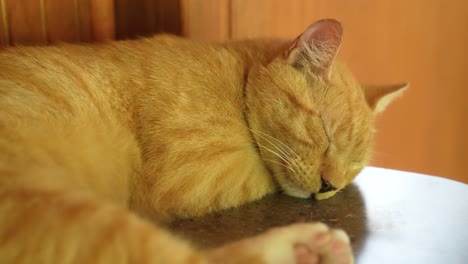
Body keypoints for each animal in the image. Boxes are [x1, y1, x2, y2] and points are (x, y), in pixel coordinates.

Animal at [0, 19, 406, 264]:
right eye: (325, 134)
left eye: (354, 165)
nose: (328, 186)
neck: (236, 78)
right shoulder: (193, 175)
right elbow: (264, 177)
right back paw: (305, 248)